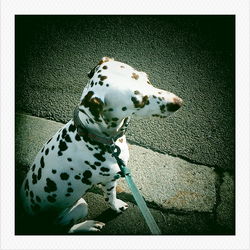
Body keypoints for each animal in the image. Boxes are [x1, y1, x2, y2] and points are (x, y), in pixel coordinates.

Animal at [20, 57, 183, 233]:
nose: (178, 103)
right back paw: (87, 225)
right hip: (80, 206)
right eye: (138, 101)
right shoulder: (110, 180)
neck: (92, 136)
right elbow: (111, 198)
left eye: (146, 78)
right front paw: (117, 206)